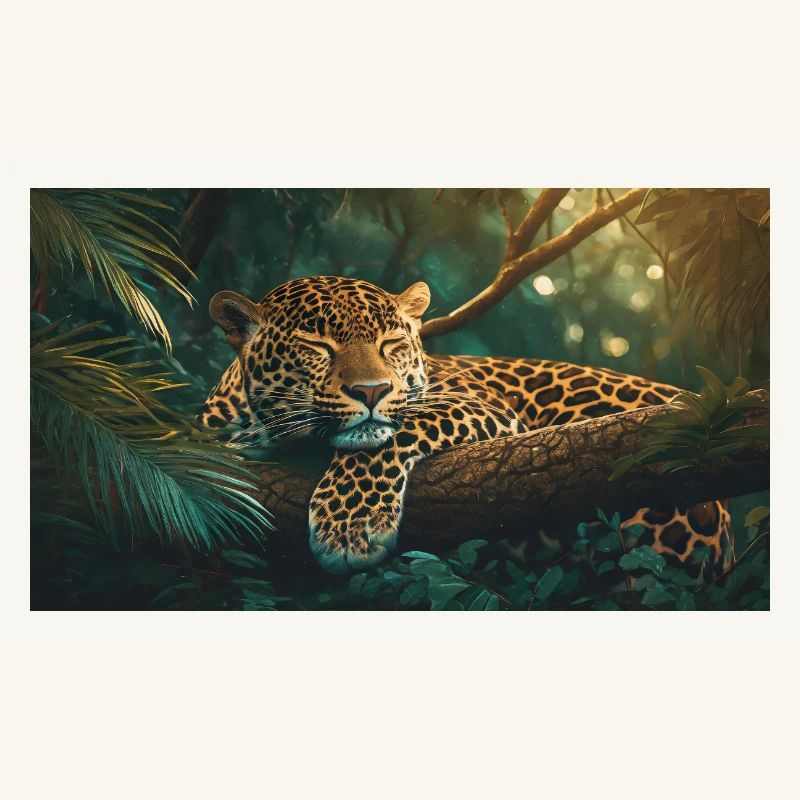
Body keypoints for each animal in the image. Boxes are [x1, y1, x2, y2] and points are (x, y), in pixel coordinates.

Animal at [199, 275, 732, 577]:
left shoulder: (480, 404)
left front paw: (350, 526)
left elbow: (388, 435)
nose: (372, 391)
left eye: (391, 342)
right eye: (316, 346)